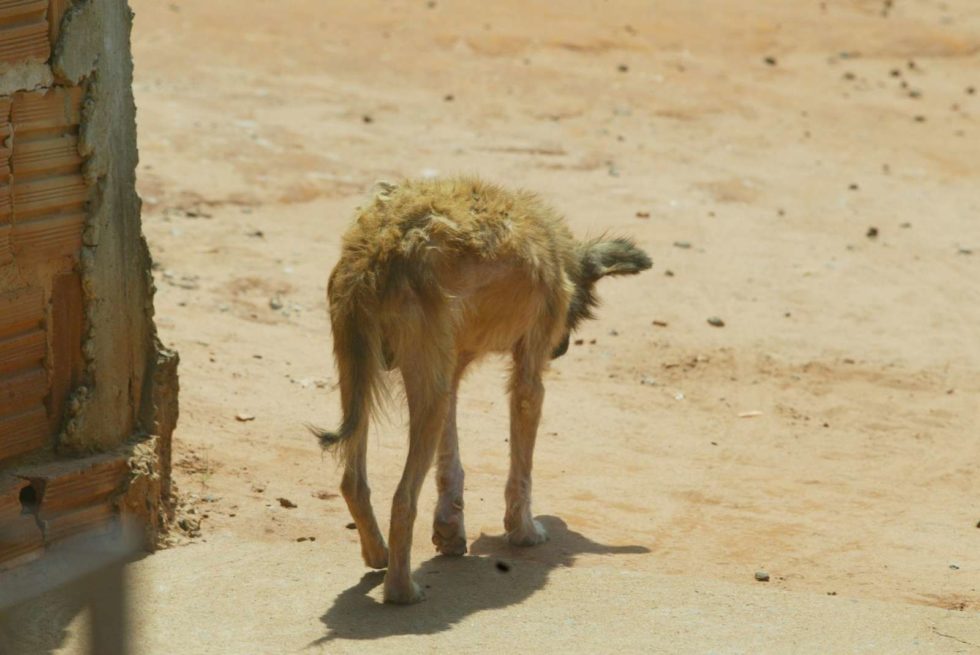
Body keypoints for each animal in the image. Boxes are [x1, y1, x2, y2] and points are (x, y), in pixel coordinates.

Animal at [314, 176, 652, 604]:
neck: (552, 246)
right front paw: (524, 531)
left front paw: (449, 531)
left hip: (368, 378)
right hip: (423, 392)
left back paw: (378, 555)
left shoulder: (451, 371)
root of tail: (378, 246)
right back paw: (401, 591)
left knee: (353, 482)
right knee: (402, 499)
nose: (561, 349)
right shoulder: (527, 379)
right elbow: (521, 472)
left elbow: (451, 465)